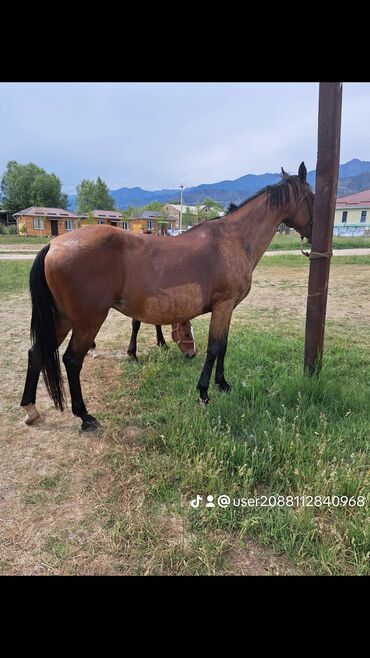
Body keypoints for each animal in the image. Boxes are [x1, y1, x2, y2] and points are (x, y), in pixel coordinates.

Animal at [20, 163, 314, 430]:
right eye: (311, 196)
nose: (315, 234)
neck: (234, 239)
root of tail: (53, 245)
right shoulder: (223, 306)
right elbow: (215, 347)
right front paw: (204, 392)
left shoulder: (228, 309)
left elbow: (223, 346)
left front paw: (222, 384)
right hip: (87, 321)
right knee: (71, 360)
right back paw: (84, 416)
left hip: (62, 318)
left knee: (37, 353)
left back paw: (31, 409)